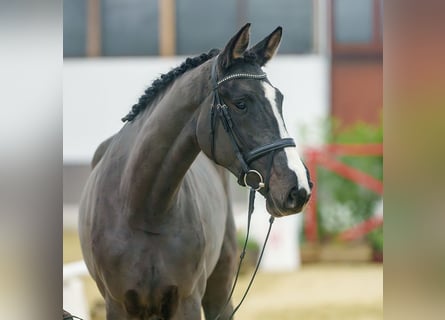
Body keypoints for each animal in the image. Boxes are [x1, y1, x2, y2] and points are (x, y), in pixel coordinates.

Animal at [78, 23, 310, 318]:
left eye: (279, 100)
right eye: (241, 103)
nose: (298, 188)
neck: (142, 210)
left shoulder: (186, 300)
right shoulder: (118, 304)